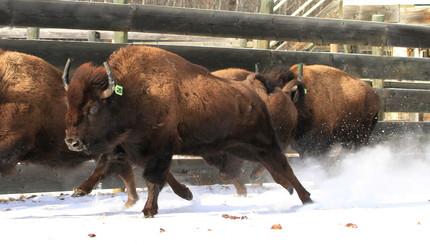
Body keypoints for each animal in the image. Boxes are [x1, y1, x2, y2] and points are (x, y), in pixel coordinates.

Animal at [63, 45, 312, 217]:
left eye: (93, 107)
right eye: (68, 103)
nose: (71, 142)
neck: (130, 95)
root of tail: (249, 88)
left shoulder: (158, 148)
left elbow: (153, 178)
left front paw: (149, 210)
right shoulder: (131, 147)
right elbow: (107, 167)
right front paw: (79, 190)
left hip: (261, 142)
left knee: (282, 164)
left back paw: (306, 198)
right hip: (239, 148)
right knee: (267, 167)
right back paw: (290, 189)